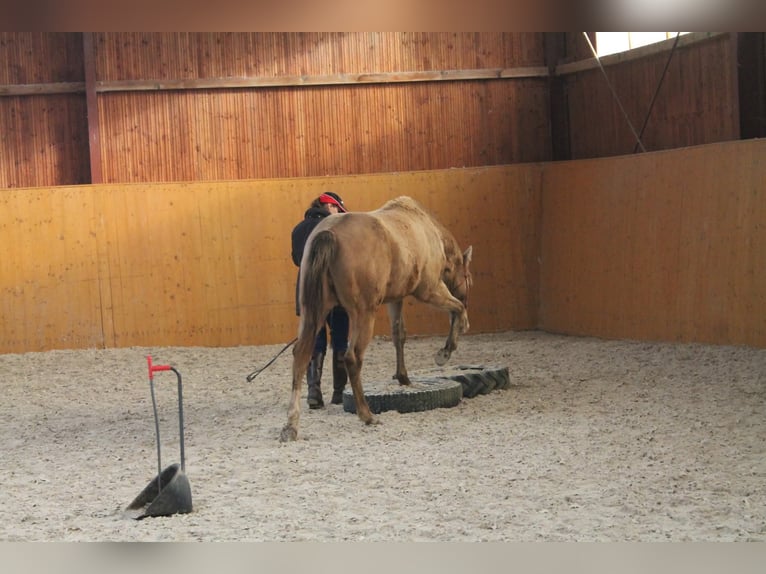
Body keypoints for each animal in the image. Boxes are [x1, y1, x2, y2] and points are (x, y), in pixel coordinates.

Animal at [280, 196, 473, 442]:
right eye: (467, 276)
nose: (467, 297)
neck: (426, 228)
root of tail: (328, 233)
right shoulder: (430, 290)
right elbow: (456, 308)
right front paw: (446, 350)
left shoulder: (396, 299)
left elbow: (399, 334)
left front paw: (403, 377)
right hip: (363, 314)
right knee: (352, 357)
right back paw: (366, 414)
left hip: (312, 314)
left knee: (302, 357)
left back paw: (291, 425)